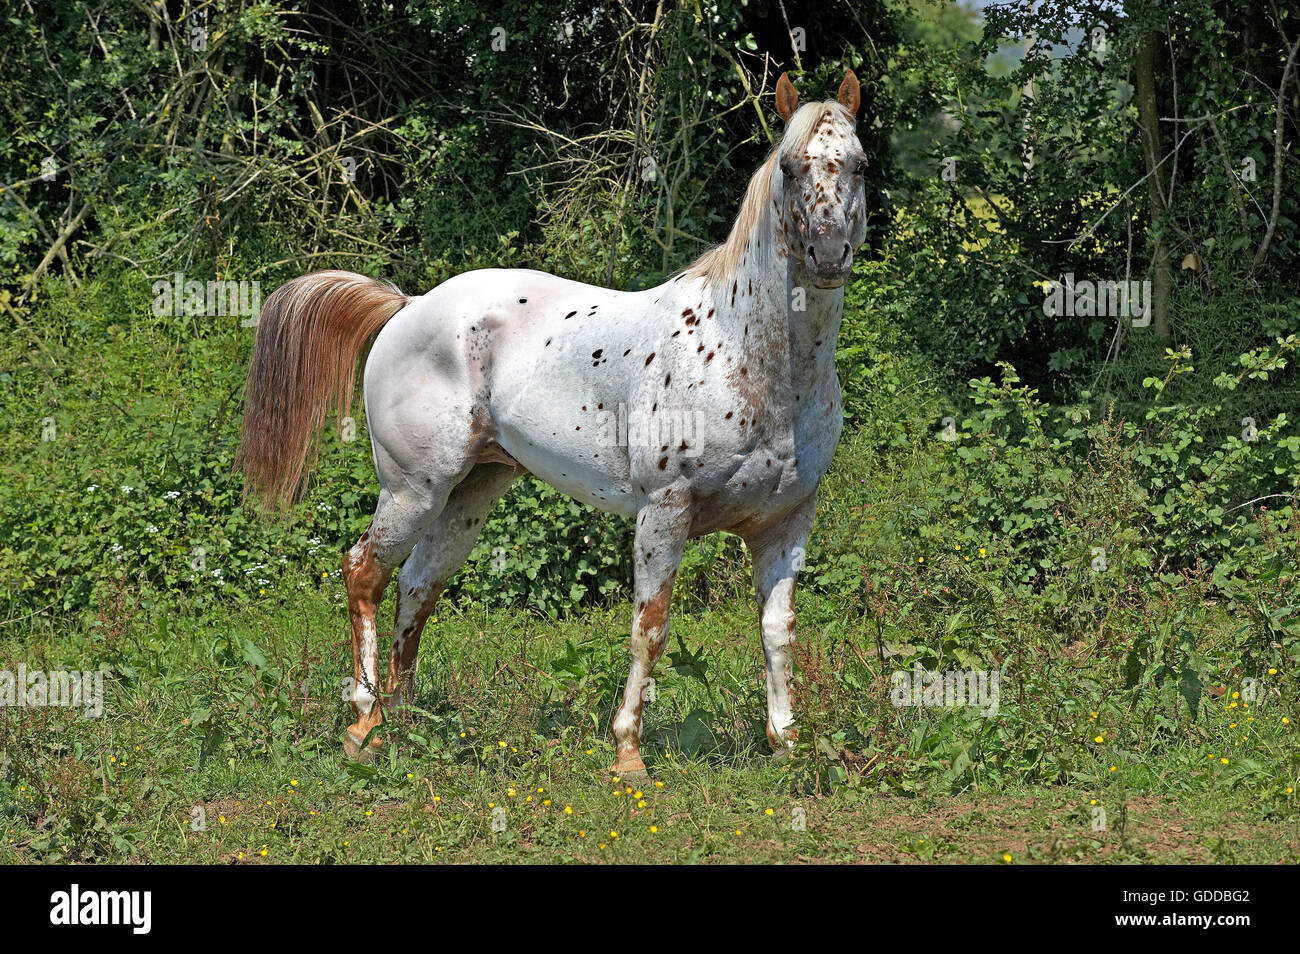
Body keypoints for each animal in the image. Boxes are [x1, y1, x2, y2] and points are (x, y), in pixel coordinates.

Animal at [241, 72, 873, 779]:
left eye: (859, 164)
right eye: (790, 167)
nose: (828, 254)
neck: (750, 358)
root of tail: (408, 306)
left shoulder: (786, 523)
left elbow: (777, 631)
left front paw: (785, 742)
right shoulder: (665, 511)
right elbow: (650, 627)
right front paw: (628, 754)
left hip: (471, 494)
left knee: (417, 583)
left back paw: (403, 721)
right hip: (413, 490)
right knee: (364, 572)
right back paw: (364, 723)